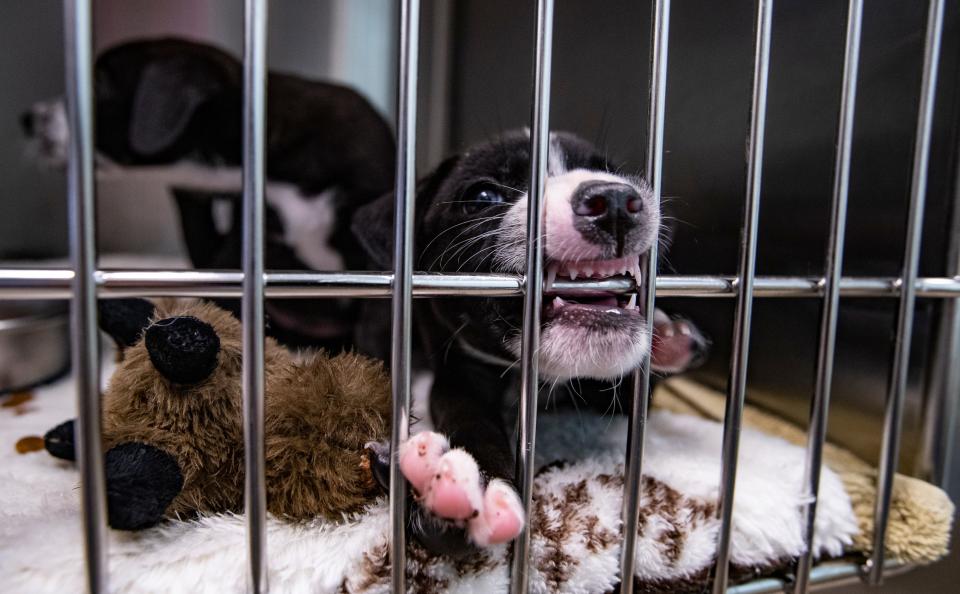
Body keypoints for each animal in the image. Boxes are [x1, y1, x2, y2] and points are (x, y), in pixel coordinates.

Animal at [352, 131, 704, 556]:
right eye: (483, 195)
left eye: (614, 173)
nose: (616, 201)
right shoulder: (458, 375)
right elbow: (470, 415)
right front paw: (474, 482)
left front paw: (665, 338)